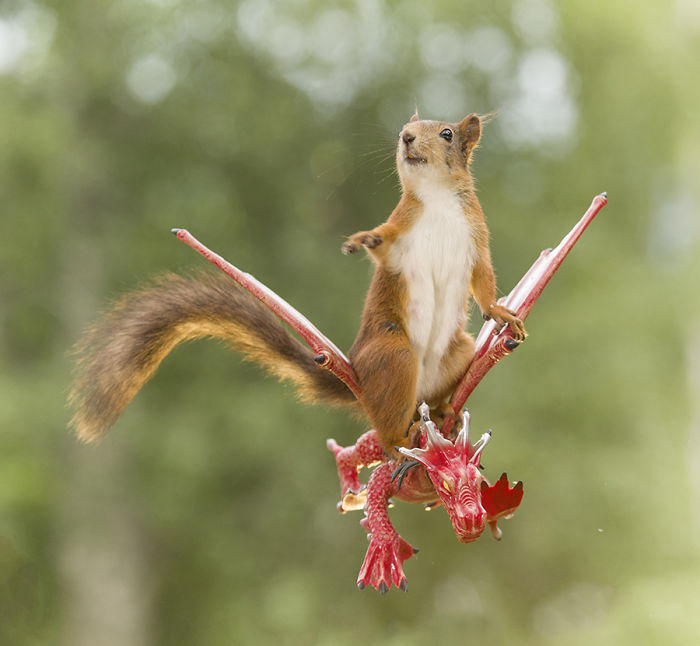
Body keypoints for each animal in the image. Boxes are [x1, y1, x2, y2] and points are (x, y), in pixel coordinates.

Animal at [68, 112, 524, 456]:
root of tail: (363, 381)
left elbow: (483, 280)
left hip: (457, 351)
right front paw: (364, 240)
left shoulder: (475, 239)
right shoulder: (402, 233)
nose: (406, 137)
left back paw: (443, 411)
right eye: (404, 129)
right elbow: (385, 248)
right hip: (392, 355)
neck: (439, 201)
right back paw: (400, 439)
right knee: (386, 422)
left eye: (447, 133)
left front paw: (500, 312)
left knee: (435, 393)